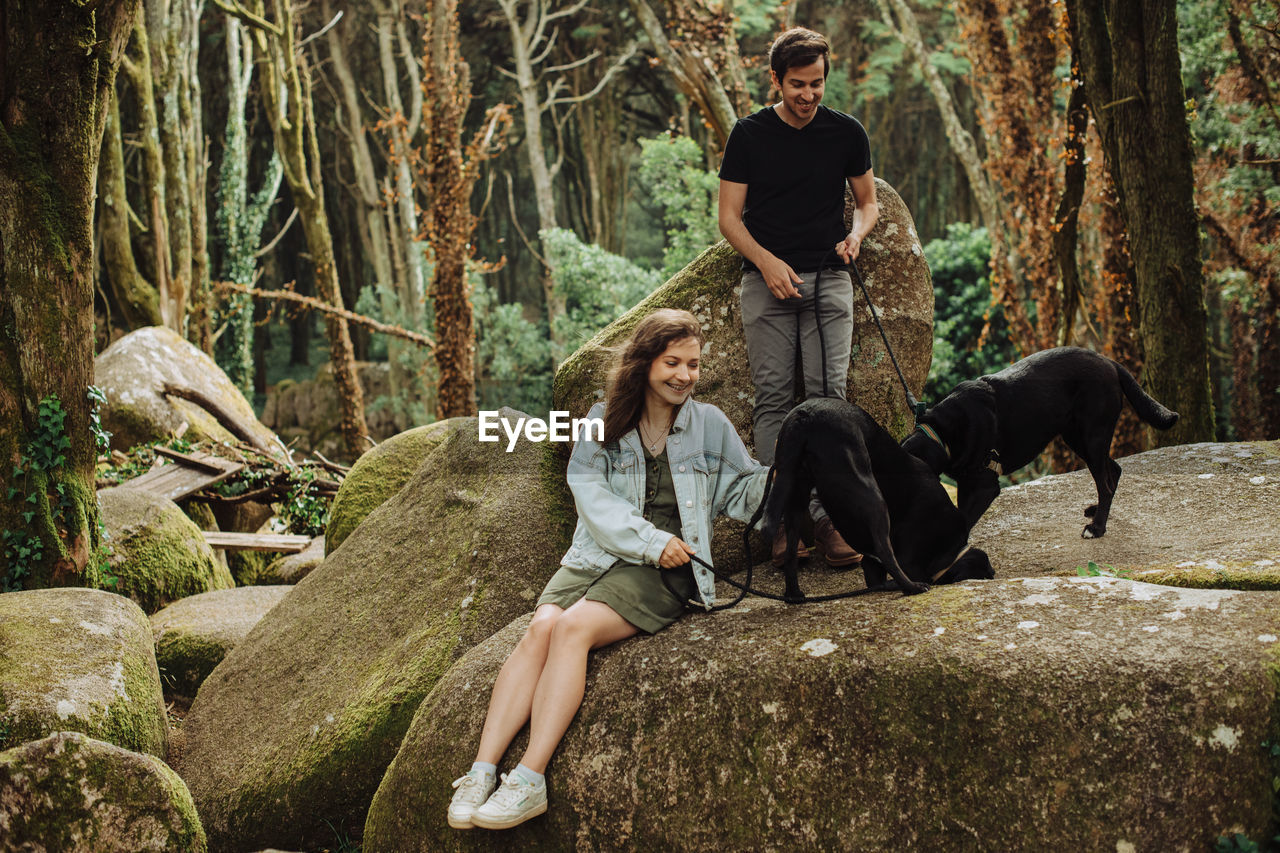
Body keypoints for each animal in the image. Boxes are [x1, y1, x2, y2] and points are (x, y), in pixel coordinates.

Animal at [752, 397, 993, 601]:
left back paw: (794, 595)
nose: (992, 574)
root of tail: (805, 415)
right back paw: (912, 588)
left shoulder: (872, 564)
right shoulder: (911, 559)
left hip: (793, 494)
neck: (950, 548)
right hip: (871, 496)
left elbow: (874, 576)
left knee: (791, 554)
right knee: (885, 551)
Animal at [901, 343, 1177, 535]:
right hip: (1077, 437)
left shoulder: (983, 486)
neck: (942, 432)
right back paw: (1096, 512)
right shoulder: (967, 485)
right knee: (1114, 470)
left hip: (1092, 435)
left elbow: (964, 521)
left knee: (1105, 484)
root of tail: (1108, 361)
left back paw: (1097, 528)